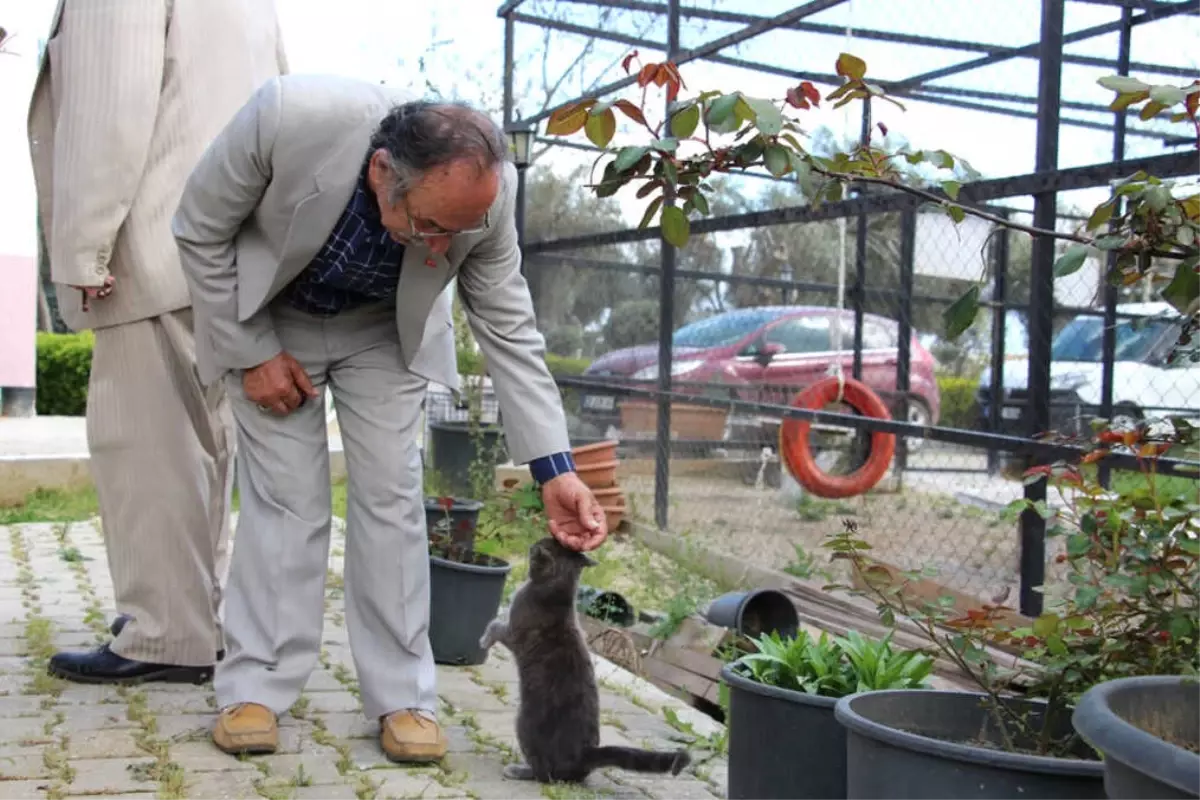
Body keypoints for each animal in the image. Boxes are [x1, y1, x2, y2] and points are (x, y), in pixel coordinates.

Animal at [475, 534, 691, 786]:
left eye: (541, 545)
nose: (534, 542)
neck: (556, 592)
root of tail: (586, 753)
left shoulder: (514, 633)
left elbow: (495, 624)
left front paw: (484, 640)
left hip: (525, 723)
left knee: (546, 773)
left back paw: (519, 770)